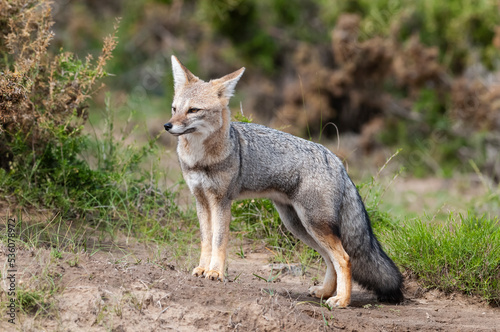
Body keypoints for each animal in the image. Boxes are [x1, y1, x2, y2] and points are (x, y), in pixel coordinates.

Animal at [162, 56, 404, 308]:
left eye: (193, 110)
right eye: (174, 108)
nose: (167, 126)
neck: (200, 159)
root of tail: (336, 160)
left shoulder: (221, 201)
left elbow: (219, 241)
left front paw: (216, 272)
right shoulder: (201, 200)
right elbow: (206, 240)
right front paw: (202, 268)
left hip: (313, 224)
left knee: (344, 258)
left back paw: (341, 300)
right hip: (300, 226)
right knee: (330, 259)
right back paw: (325, 292)